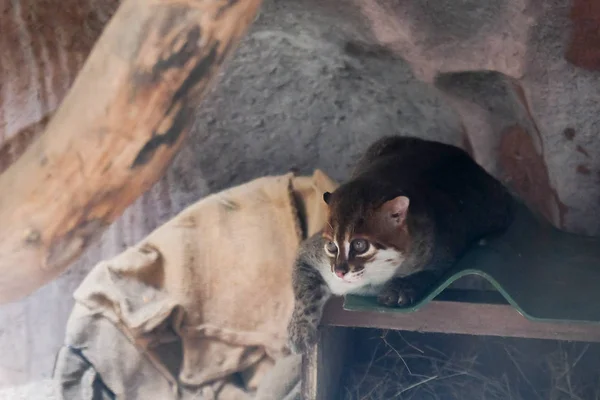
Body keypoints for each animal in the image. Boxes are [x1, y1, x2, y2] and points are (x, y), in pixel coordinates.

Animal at [288, 136, 512, 352]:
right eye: (331, 247)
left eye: (360, 245)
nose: (339, 272)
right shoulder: (310, 252)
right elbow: (304, 291)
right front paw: (299, 329)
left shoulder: (440, 249)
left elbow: (427, 274)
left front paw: (400, 288)